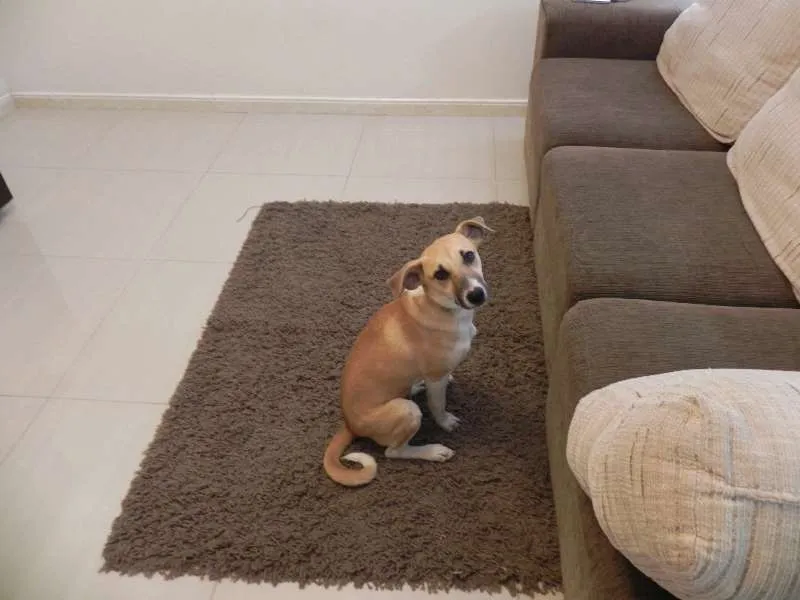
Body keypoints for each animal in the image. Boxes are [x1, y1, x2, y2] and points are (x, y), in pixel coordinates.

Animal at [323, 217, 494, 486]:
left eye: (468, 255)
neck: (441, 308)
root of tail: (350, 425)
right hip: (407, 411)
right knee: (393, 452)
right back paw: (433, 451)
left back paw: (415, 386)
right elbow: (438, 405)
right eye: (441, 274)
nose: (476, 295)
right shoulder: (436, 377)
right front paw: (446, 422)